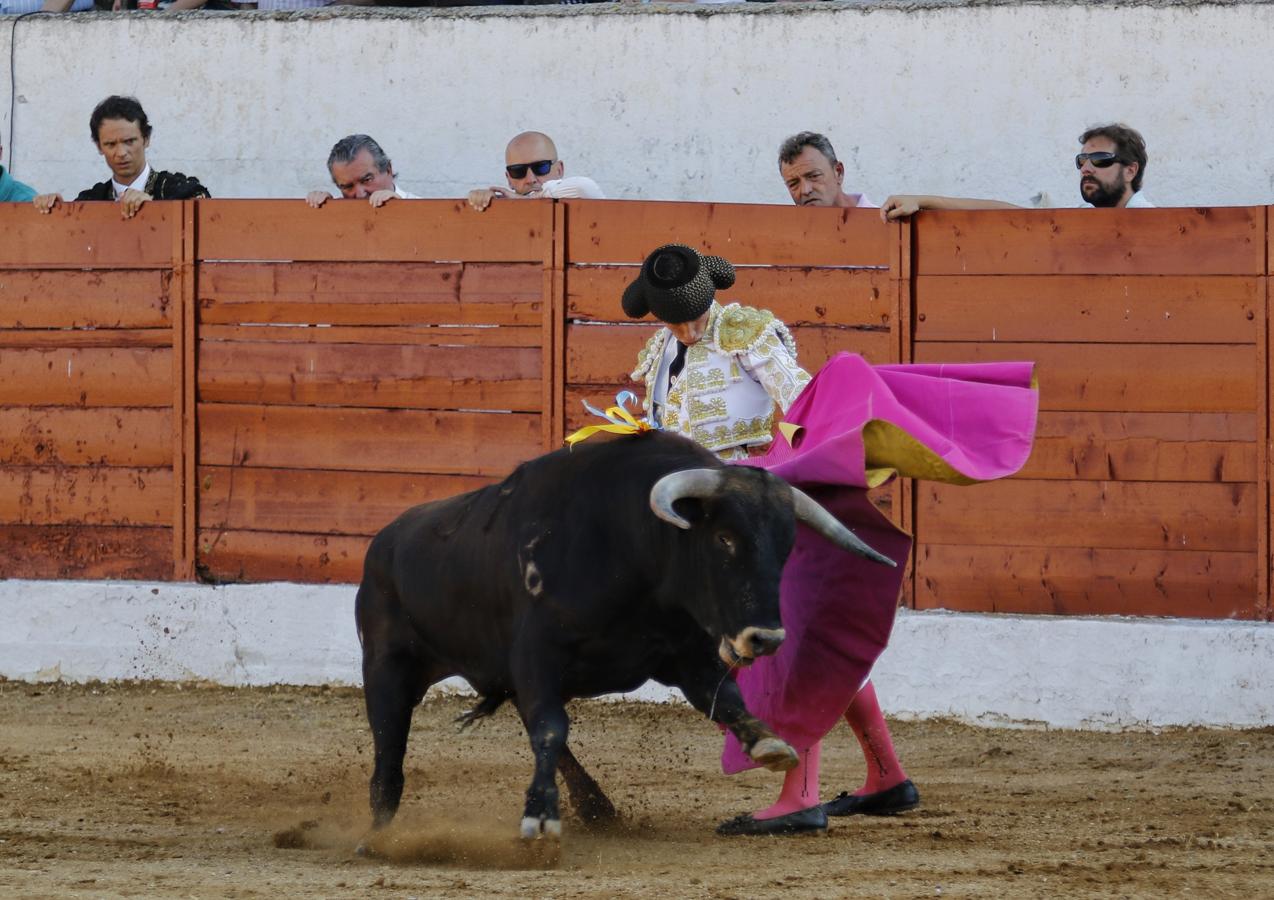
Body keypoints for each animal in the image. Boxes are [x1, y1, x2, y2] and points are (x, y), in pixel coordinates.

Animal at [349, 430, 891, 836]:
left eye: (787, 545)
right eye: (723, 538)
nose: (767, 639)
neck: (632, 553)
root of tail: (382, 543)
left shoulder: (686, 657)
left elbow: (728, 700)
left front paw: (768, 744)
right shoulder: (537, 657)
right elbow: (551, 727)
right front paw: (539, 818)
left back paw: (596, 808)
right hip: (387, 665)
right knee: (389, 745)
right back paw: (378, 829)